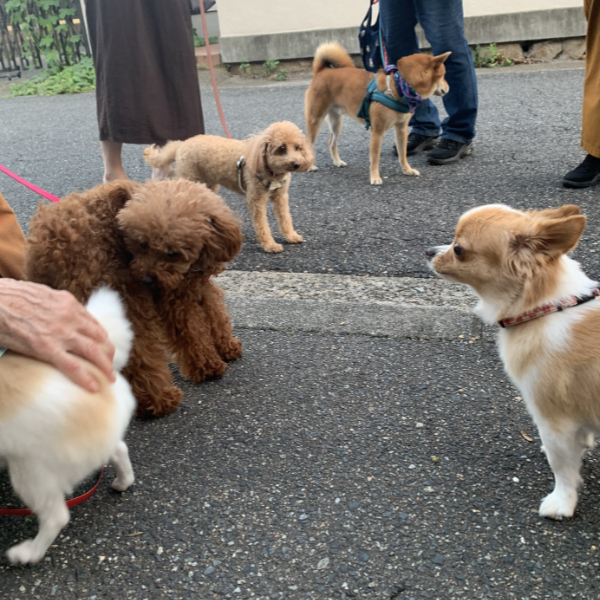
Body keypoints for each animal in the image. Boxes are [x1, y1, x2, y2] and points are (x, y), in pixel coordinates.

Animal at [144, 122, 314, 253]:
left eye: (298, 147)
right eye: (281, 148)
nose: (296, 164)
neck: (272, 173)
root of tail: (182, 144)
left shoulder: (281, 197)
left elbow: (285, 218)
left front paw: (291, 236)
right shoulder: (256, 199)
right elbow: (262, 225)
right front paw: (270, 245)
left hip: (208, 183)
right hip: (190, 177)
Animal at [428, 203, 596, 520]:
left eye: (458, 249)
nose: (428, 250)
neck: (544, 308)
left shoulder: (554, 419)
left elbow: (563, 468)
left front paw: (562, 502)